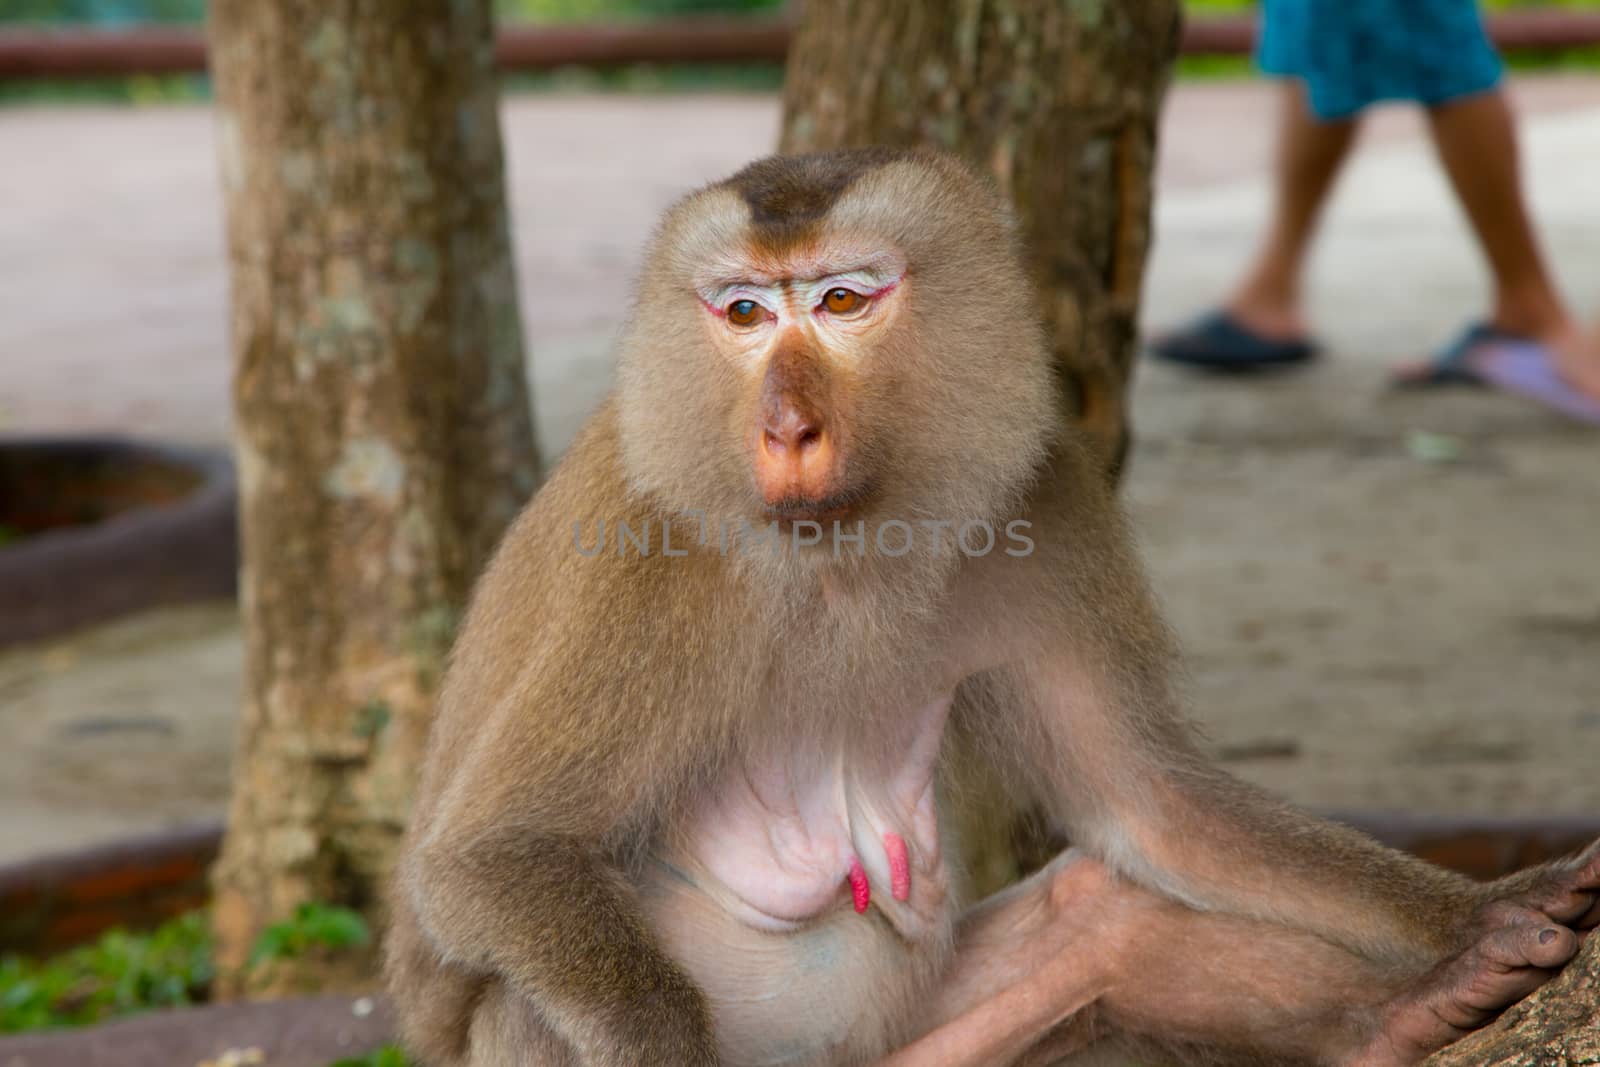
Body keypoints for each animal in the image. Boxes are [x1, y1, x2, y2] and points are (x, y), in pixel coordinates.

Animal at [377, 147, 1600, 1067]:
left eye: (840, 300)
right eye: (742, 312)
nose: (784, 427)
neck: (845, 541)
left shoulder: (1048, 499)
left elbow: (1151, 807)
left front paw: (1469, 917)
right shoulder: (650, 562)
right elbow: (493, 857)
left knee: (1105, 909)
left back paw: (1401, 1016)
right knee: (530, 1003)